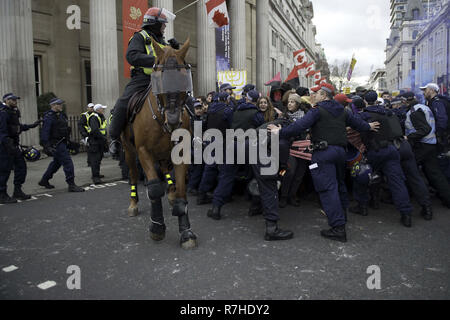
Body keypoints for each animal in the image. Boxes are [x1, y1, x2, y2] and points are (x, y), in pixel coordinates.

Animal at [121, 37, 197, 250]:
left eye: (184, 77)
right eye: (159, 77)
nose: (173, 121)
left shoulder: (181, 152)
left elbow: (181, 191)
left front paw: (186, 232)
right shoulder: (142, 150)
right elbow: (154, 188)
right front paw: (157, 227)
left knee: (164, 169)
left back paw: (170, 194)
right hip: (128, 150)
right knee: (133, 174)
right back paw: (133, 203)